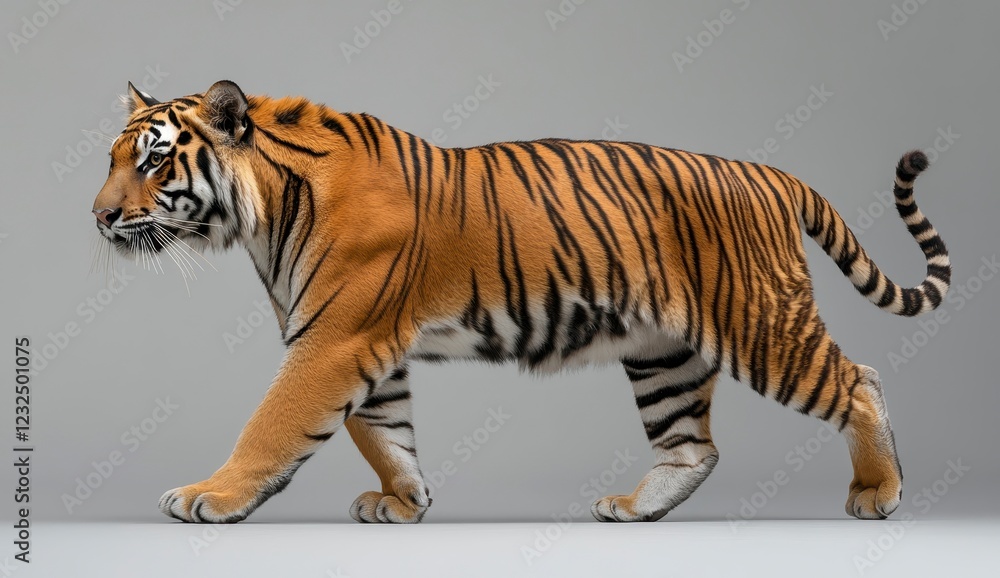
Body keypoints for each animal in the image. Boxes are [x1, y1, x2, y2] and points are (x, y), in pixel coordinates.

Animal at [92, 80, 950, 524]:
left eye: (154, 161)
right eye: (111, 159)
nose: (97, 216)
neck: (262, 213)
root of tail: (773, 173)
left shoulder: (334, 340)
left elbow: (273, 426)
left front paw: (210, 496)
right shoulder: (363, 348)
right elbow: (383, 433)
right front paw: (406, 501)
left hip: (760, 326)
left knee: (860, 383)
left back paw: (880, 493)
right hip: (664, 355)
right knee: (691, 446)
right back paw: (636, 510)